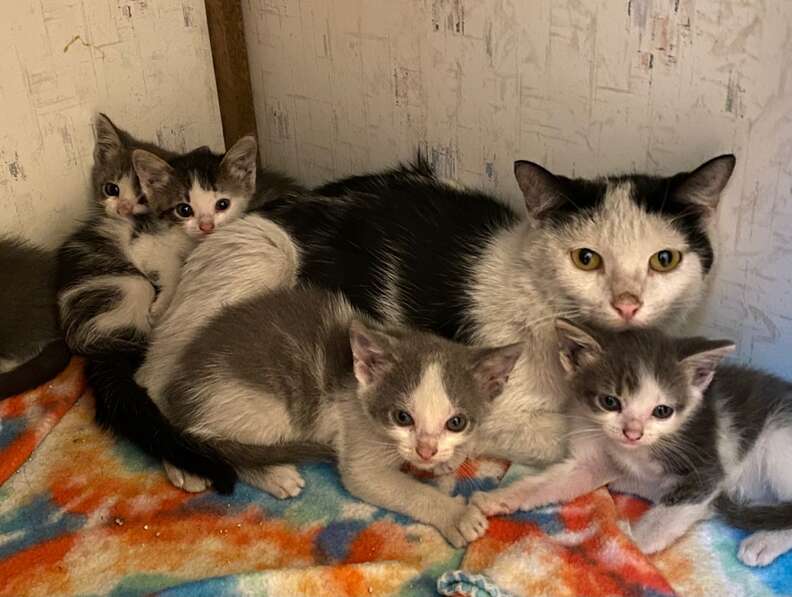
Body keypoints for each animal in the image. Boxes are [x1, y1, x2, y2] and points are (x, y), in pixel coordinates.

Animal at [158, 286, 524, 548]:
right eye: (402, 417)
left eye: (456, 422)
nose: (426, 450)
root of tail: (181, 383)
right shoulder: (358, 441)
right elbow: (403, 489)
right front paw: (457, 514)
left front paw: (450, 459)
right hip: (266, 405)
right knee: (220, 444)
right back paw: (273, 474)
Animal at [470, 322, 792, 568]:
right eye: (610, 402)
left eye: (662, 411)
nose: (632, 432)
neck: (634, 452)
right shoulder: (593, 456)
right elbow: (555, 481)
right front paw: (500, 497)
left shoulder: (704, 465)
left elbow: (668, 513)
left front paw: (628, 542)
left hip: (778, 440)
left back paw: (763, 541)